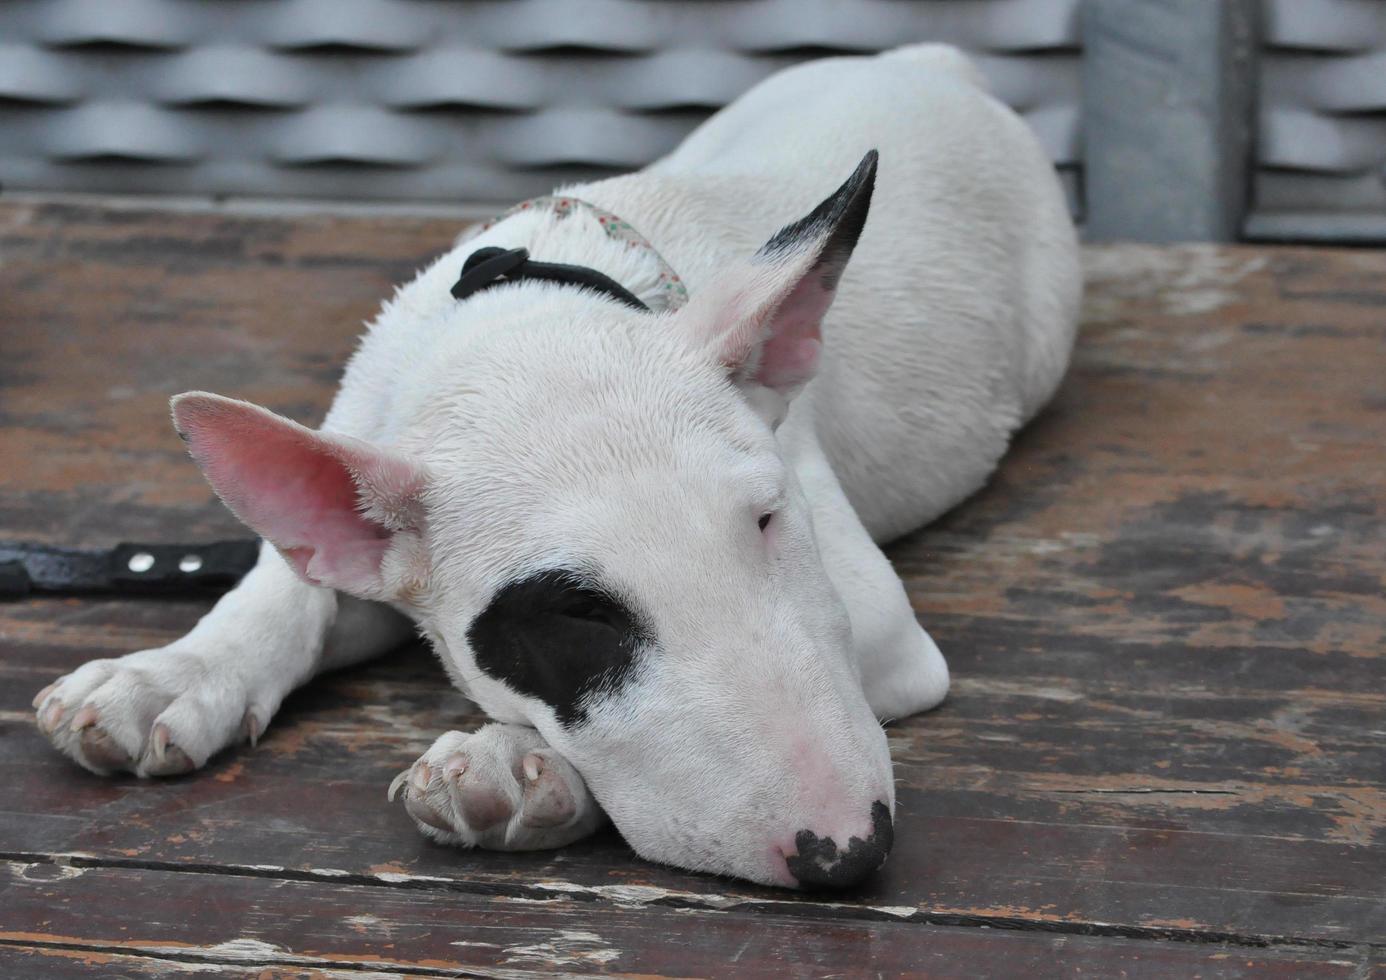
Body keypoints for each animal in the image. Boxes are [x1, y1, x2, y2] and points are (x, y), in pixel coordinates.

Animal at [27, 44, 1075, 887]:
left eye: (770, 522)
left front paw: (509, 767)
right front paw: (164, 677)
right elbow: (291, 590)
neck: (529, 313)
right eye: (575, 614)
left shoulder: (881, 625)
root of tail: (935, 64)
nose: (848, 852)